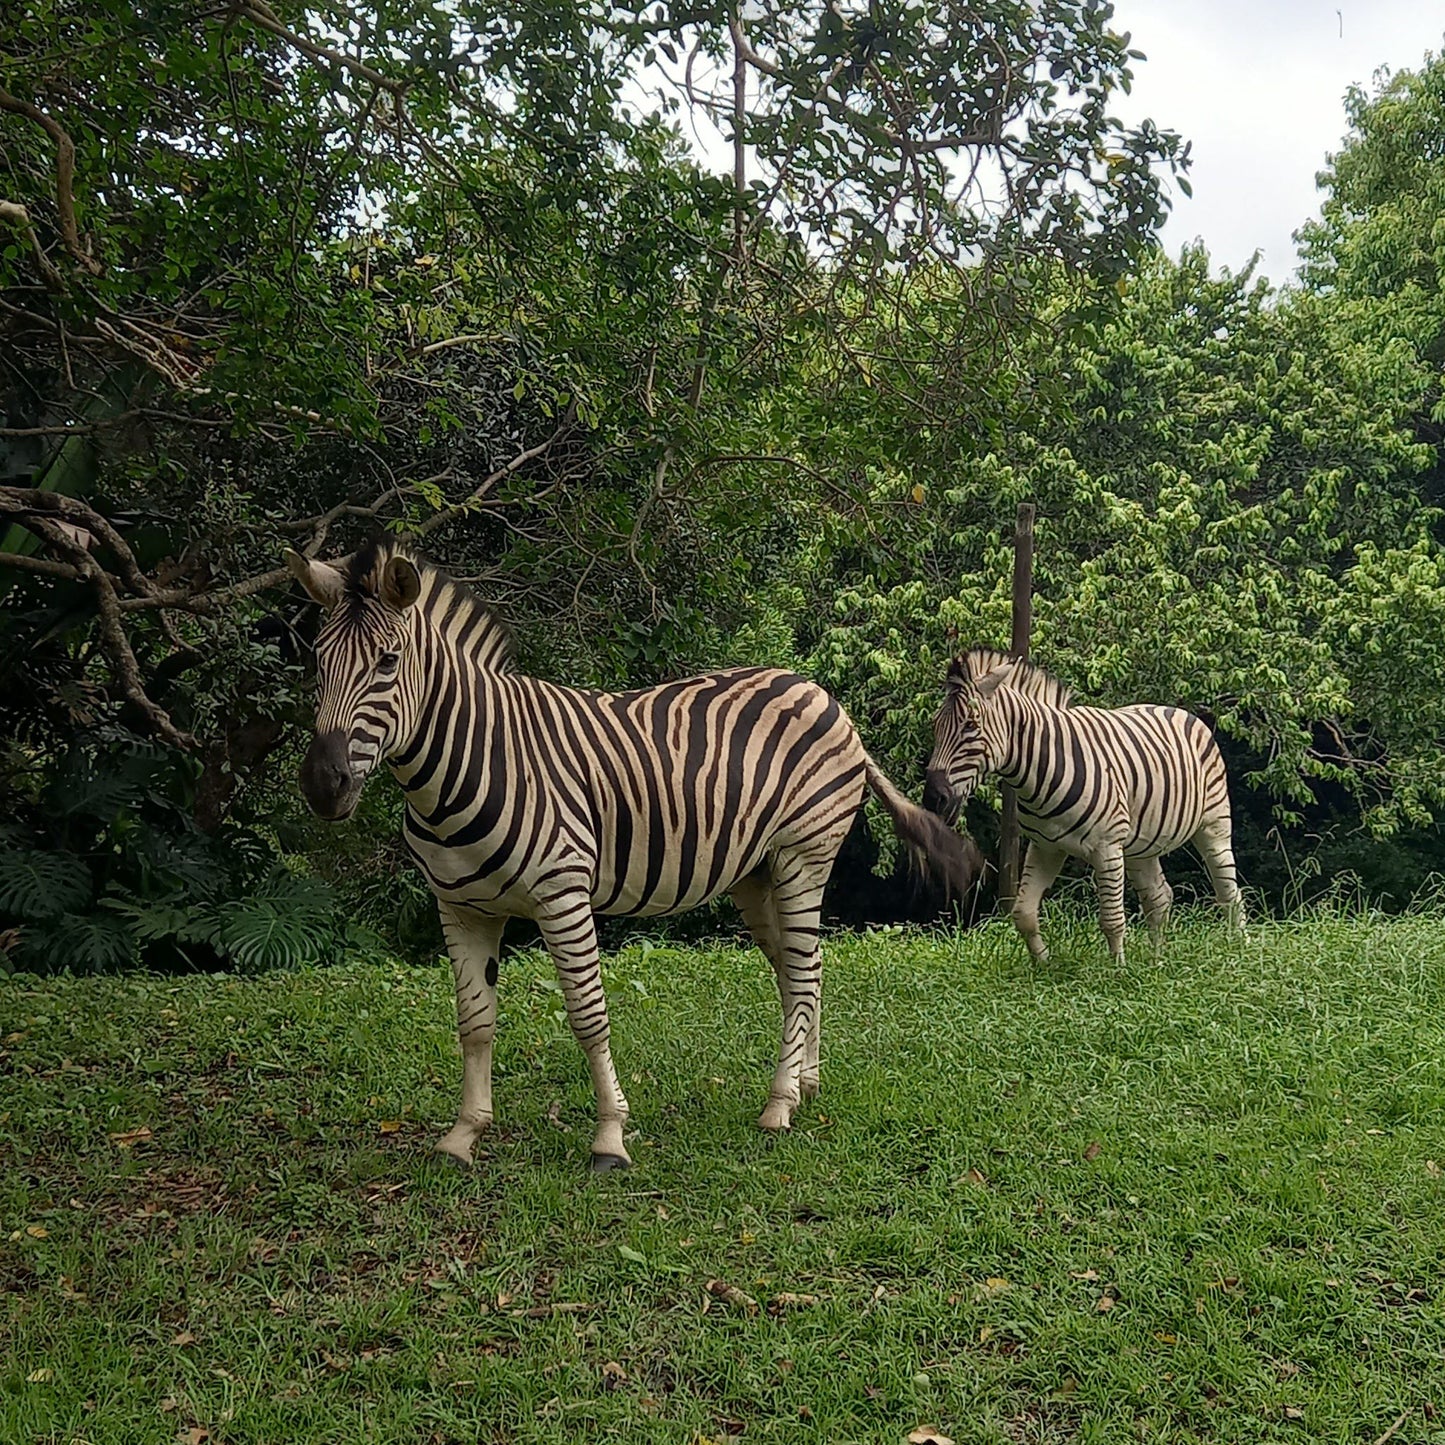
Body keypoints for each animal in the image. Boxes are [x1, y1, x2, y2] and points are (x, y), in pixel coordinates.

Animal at [281, 543, 982, 1173]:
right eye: (318, 661)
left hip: (802, 858)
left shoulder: (561, 894)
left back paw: (779, 1105)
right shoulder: (461, 907)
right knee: (799, 969)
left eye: (387, 662)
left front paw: (610, 1138)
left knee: (805, 973)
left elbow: (588, 1015)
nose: (321, 784)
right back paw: (805, 1084)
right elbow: (474, 1022)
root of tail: (822, 694)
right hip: (756, 875)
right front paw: (463, 1136)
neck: (465, 765)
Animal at [919, 644, 1236, 959]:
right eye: (935, 725)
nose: (933, 799)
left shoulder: (1107, 848)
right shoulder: (1045, 846)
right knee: (1159, 898)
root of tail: (1175, 709)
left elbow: (1112, 921)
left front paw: (1118, 971)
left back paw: (1238, 951)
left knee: (1229, 894)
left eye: (970, 726)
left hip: (1214, 826)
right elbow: (1024, 914)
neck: (1040, 770)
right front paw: (1044, 965)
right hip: (1141, 844)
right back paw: (1156, 962)